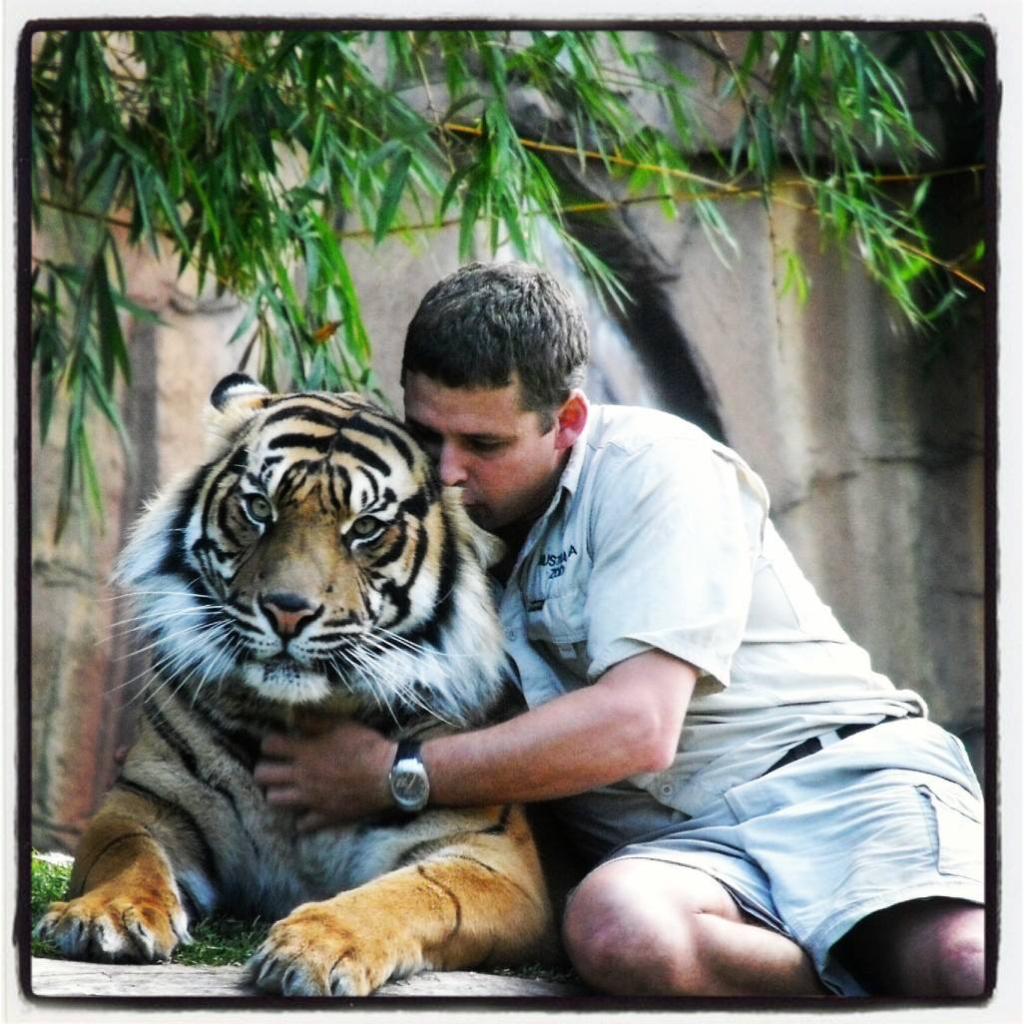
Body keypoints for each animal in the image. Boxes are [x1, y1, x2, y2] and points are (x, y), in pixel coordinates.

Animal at [35, 373, 557, 997]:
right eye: (260, 508)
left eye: (365, 528)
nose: (287, 610)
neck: (304, 714)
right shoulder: (149, 798)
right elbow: (125, 852)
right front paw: (107, 915)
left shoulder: (493, 856)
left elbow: (414, 894)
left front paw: (319, 947)